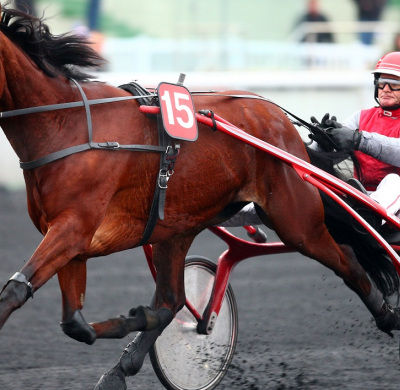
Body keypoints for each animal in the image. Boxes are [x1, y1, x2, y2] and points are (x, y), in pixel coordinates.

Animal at [0, 3, 398, 390]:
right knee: (171, 300)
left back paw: (386, 313)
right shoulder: (71, 240)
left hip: (296, 221)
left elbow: (18, 294)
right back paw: (124, 363)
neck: (67, 126)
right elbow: (74, 322)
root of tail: (278, 117)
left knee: (347, 258)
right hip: (178, 225)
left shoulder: (72, 230)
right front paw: (133, 327)